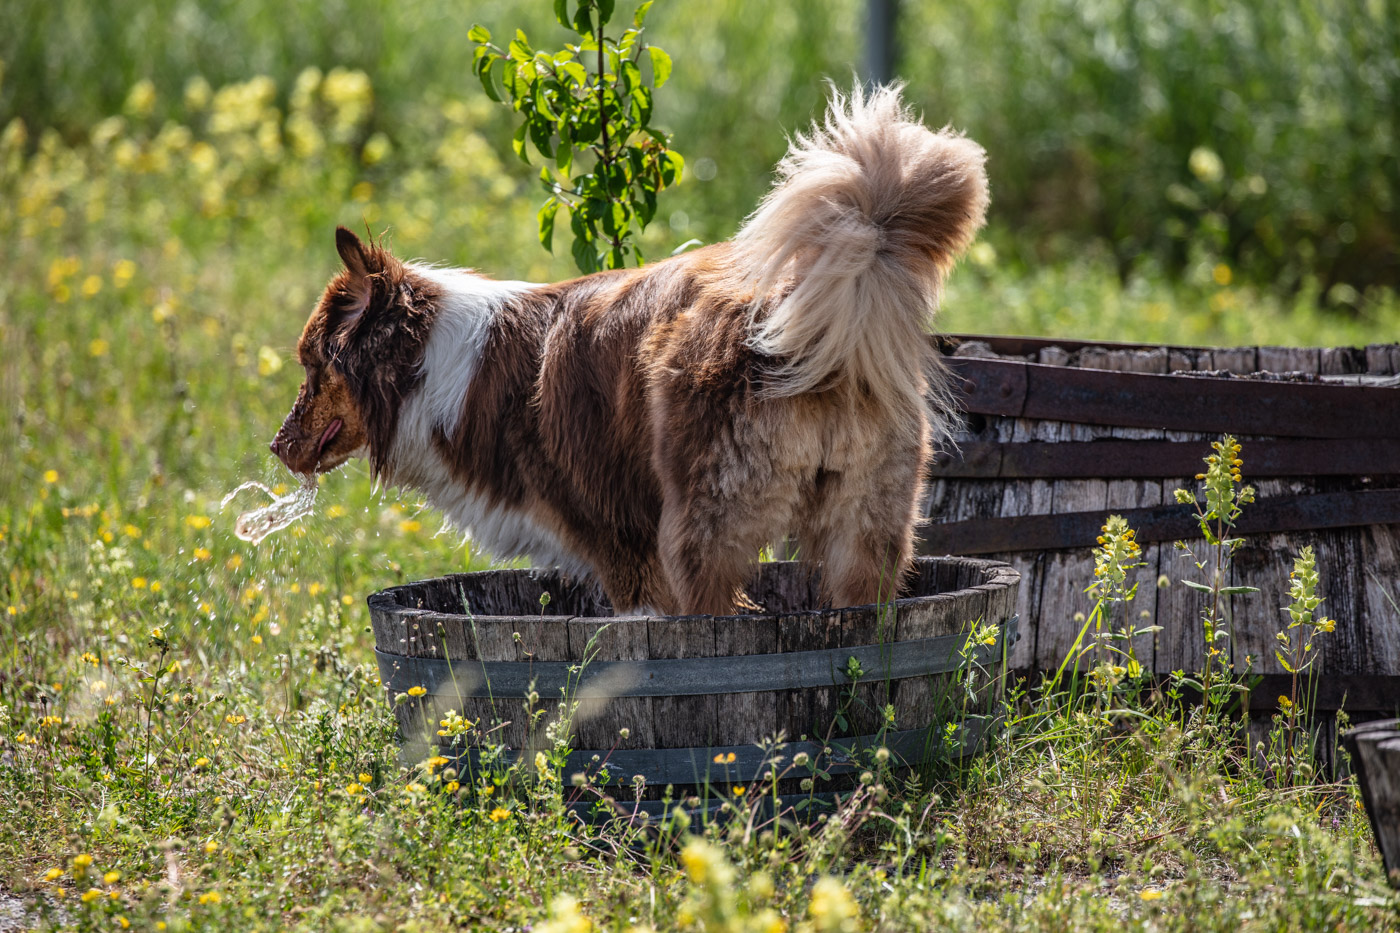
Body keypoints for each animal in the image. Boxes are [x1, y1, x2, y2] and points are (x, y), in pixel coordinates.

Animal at [273, 85, 991, 610]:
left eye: (311, 366)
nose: (276, 447)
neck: (429, 364)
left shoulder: (624, 550)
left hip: (700, 534)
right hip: (863, 535)